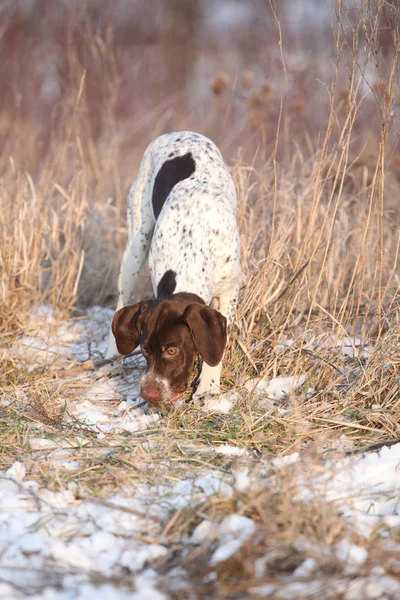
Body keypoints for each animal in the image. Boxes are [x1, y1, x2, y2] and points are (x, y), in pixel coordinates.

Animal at [104, 131, 241, 404]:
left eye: (172, 350)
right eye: (144, 349)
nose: (149, 393)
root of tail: (178, 133)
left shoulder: (229, 292)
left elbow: (217, 350)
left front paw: (208, 386)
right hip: (136, 245)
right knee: (123, 298)